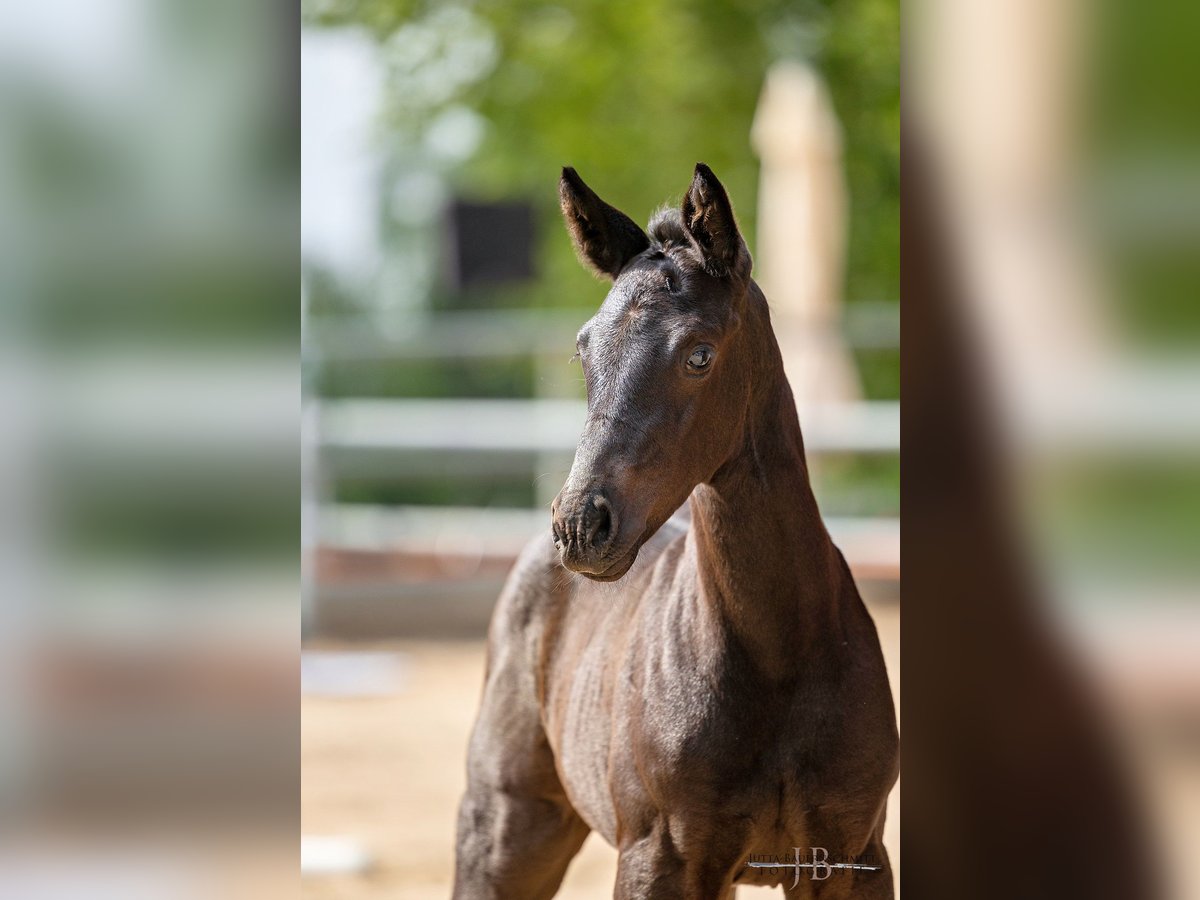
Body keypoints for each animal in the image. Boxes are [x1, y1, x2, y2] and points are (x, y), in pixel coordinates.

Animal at [453, 164, 897, 900]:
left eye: (699, 355)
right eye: (584, 352)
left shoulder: (851, 857)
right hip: (505, 830)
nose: (580, 525)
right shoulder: (660, 858)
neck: (780, 655)